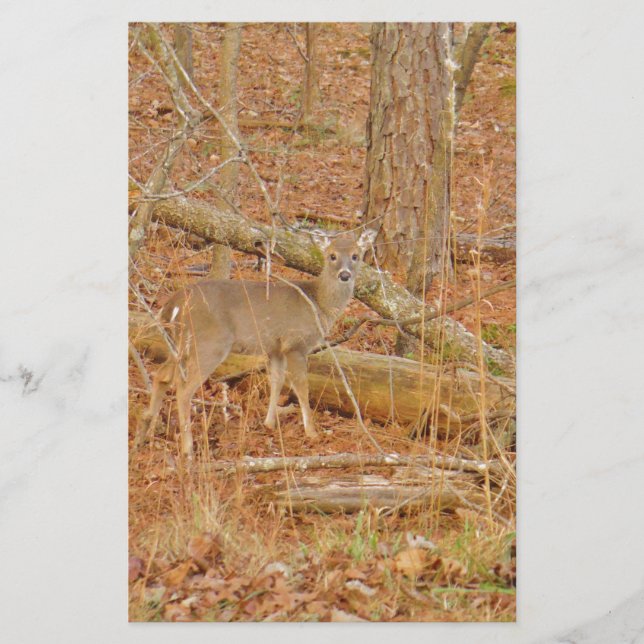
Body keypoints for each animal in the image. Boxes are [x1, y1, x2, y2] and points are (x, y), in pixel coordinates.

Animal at [135, 229, 376, 460]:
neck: (318, 304)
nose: (344, 275)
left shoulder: (275, 348)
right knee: (184, 389)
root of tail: (173, 304)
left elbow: (276, 381)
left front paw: (269, 423)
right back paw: (188, 449)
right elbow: (301, 386)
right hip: (210, 343)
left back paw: (146, 433)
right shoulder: (295, 343)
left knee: (161, 375)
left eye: (355, 255)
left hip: (179, 345)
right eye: (332, 256)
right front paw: (312, 432)